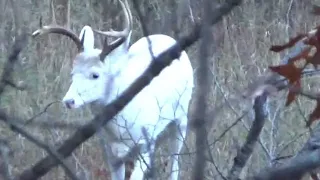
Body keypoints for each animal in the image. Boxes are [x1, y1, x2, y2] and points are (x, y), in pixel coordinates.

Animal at [31, 0, 194, 179]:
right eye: (72, 73)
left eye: (95, 74)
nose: (69, 100)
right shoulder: (110, 151)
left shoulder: (145, 142)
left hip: (182, 115)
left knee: (175, 162)